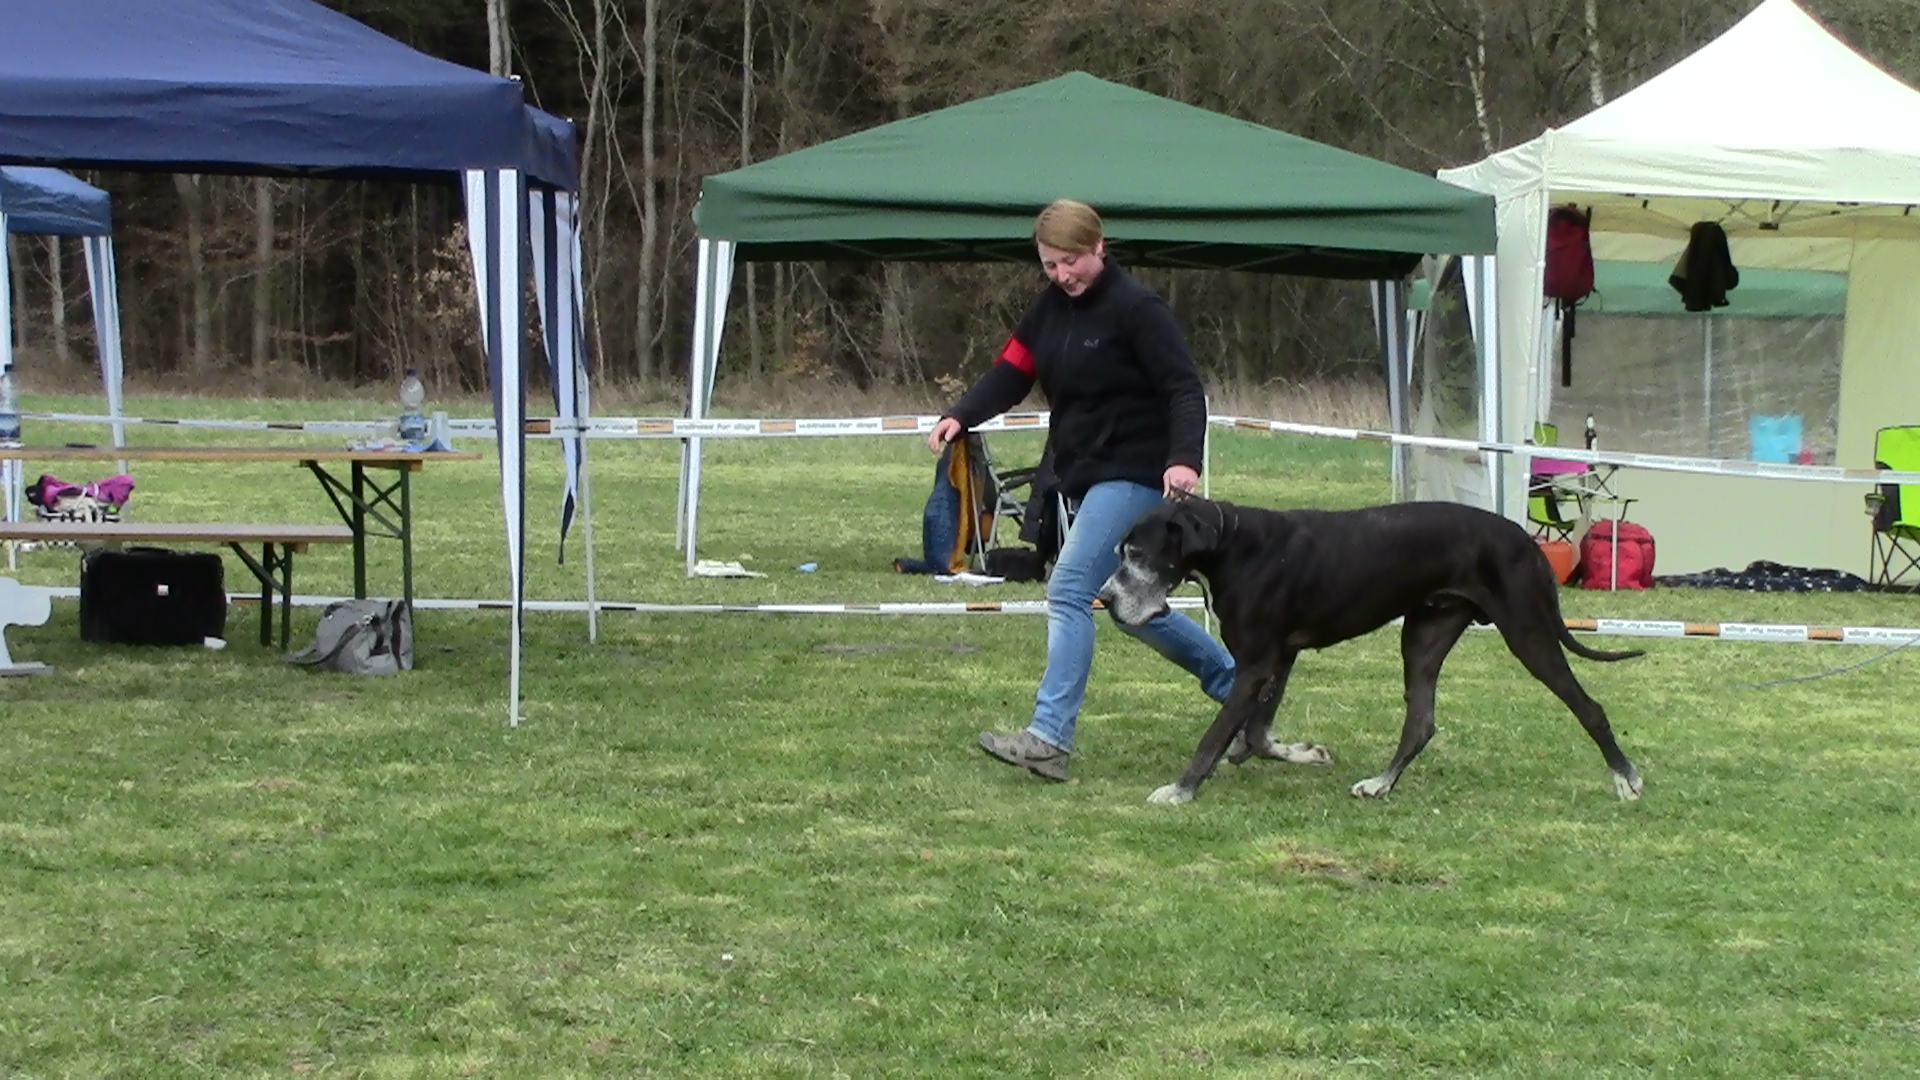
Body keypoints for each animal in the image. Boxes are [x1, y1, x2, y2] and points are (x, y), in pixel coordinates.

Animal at [1098, 495, 1651, 799]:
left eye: (1137, 554)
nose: (1105, 597)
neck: (1230, 546)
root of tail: (1527, 539)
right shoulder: (1280, 658)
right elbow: (1254, 735)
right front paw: (1302, 752)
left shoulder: (1256, 663)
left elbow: (1215, 737)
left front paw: (1180, 789)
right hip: (1423, 637)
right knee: (1421, 721)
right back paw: (1381, 783)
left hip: (1528, 632)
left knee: (1589, 706)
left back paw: (1625, 778)